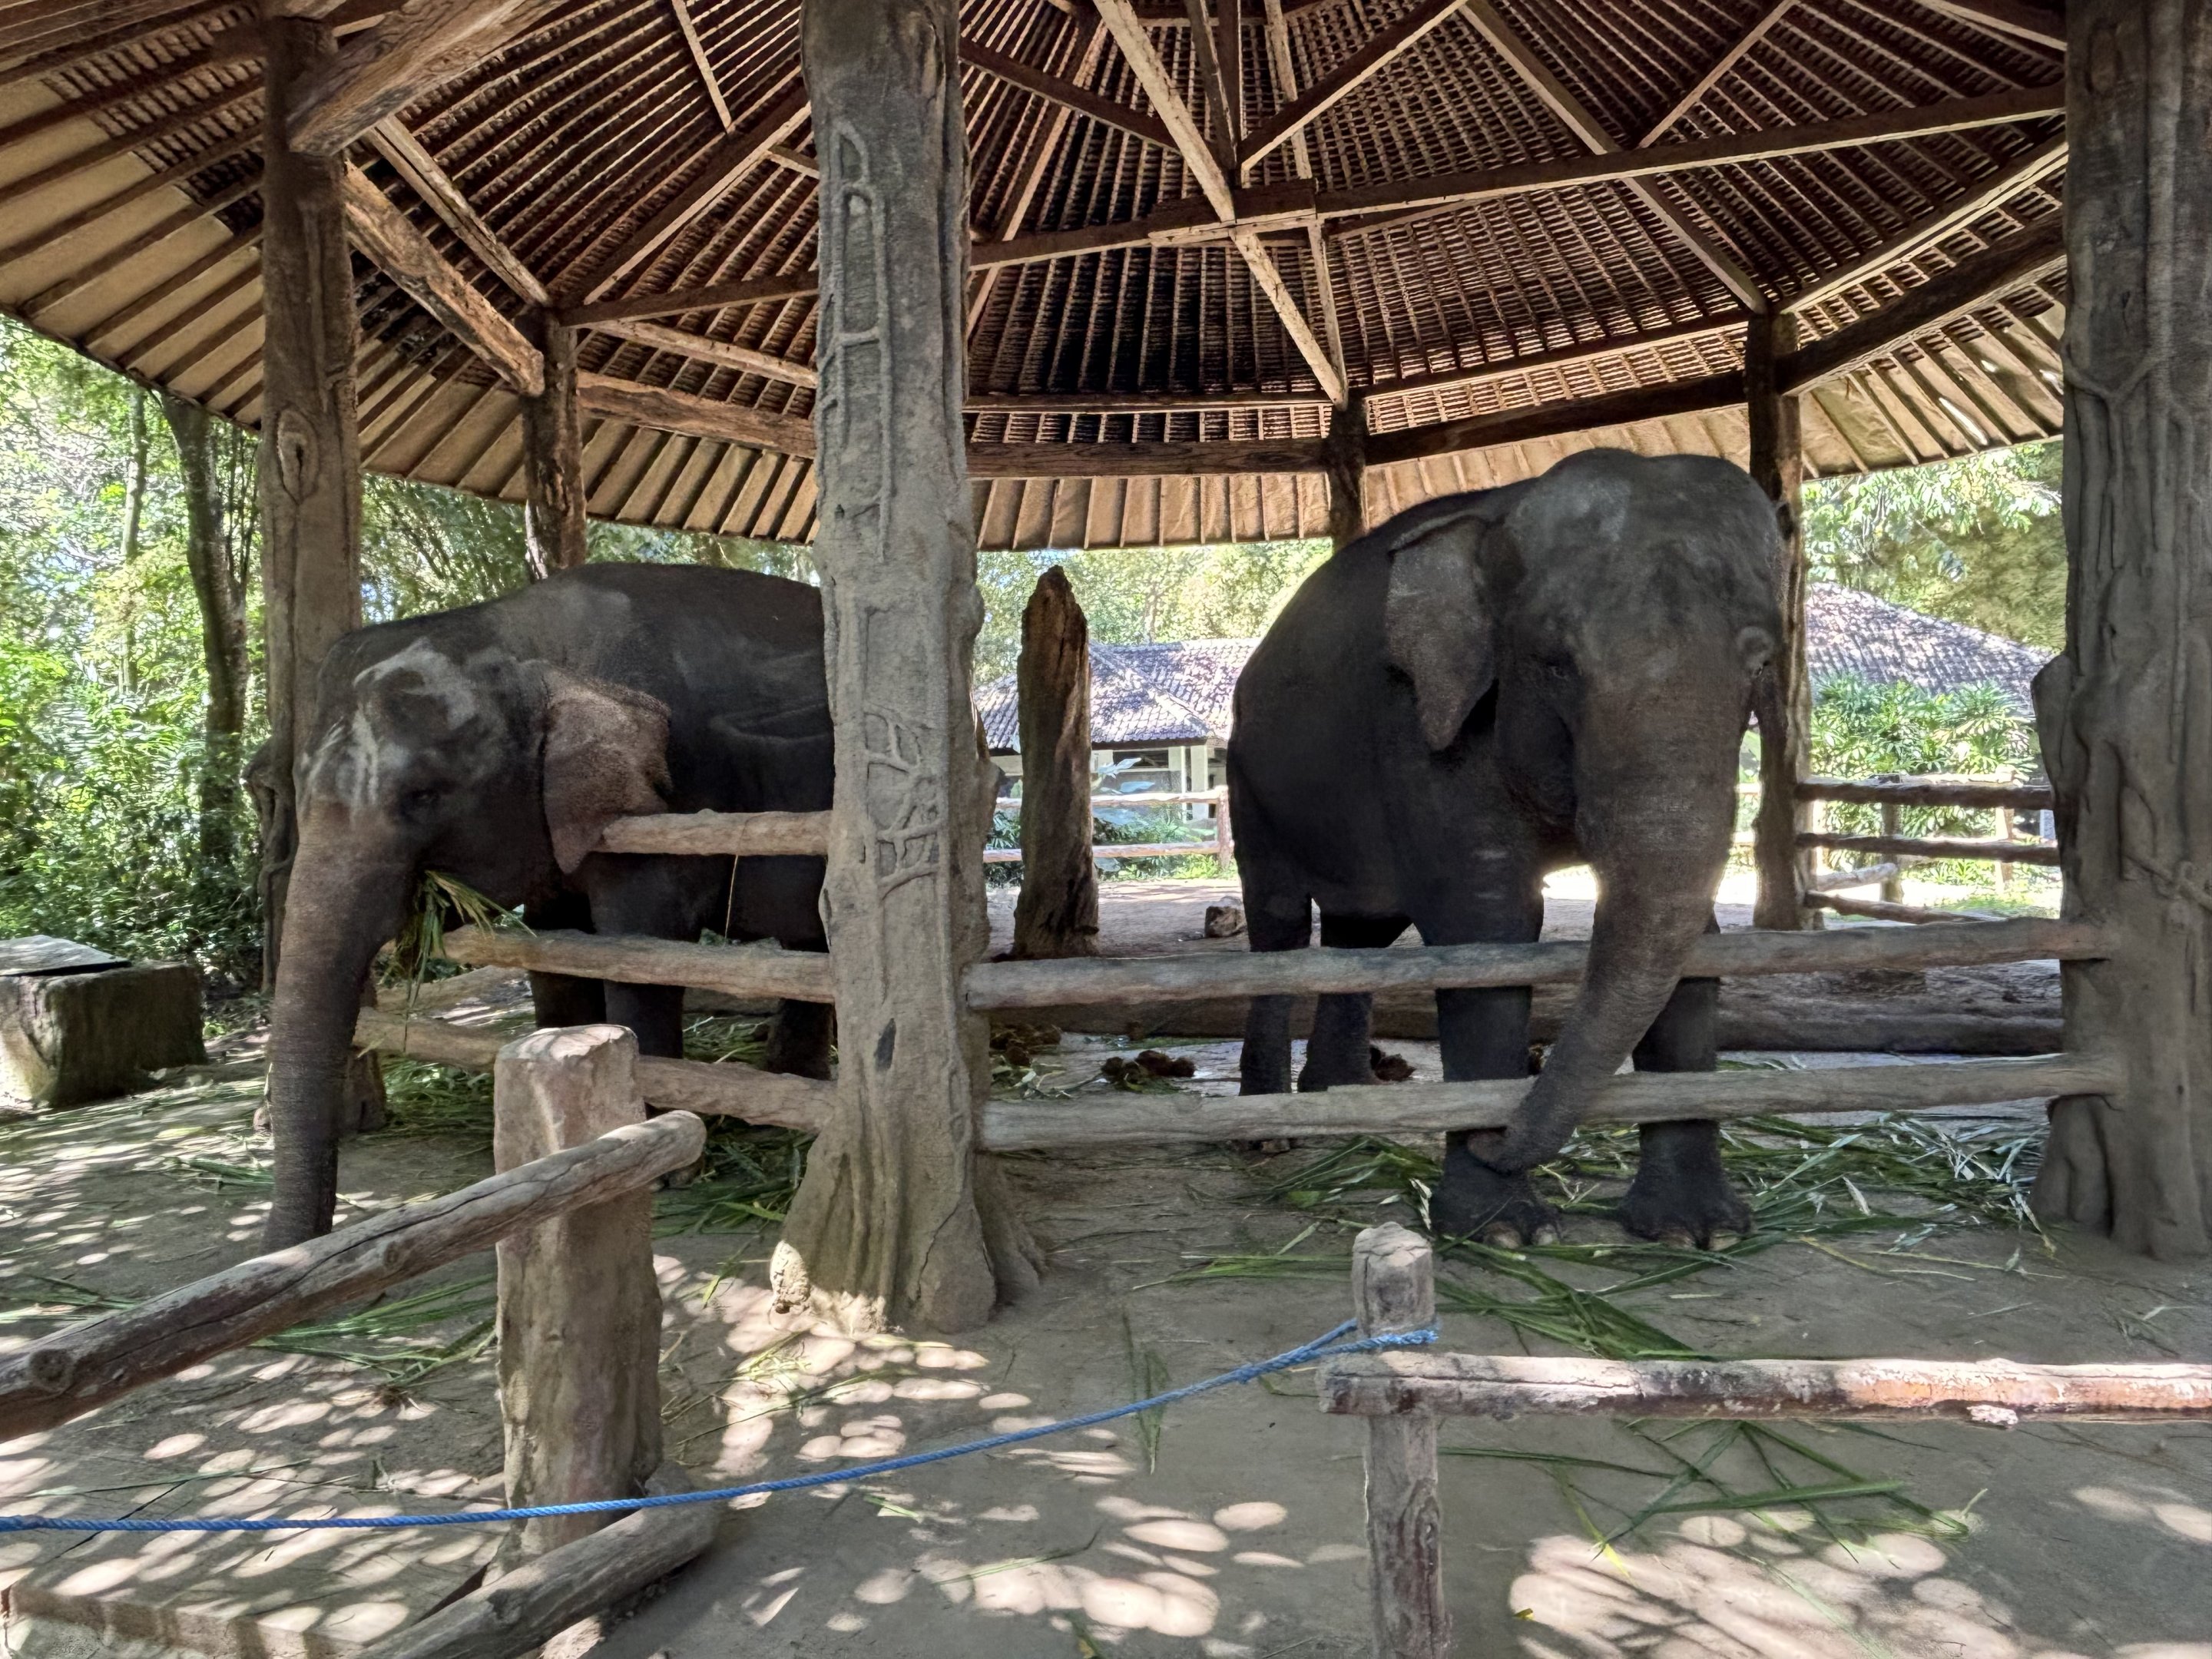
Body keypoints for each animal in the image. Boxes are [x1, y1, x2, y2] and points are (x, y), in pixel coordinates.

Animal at [263, 563, 834, 1249]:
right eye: (293, 789)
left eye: (423, 794)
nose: (294, 1244)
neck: (521, 637)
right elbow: (554, 948)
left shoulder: (662, 801)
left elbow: (641, 942)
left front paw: (668, 1165)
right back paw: (788, 1094)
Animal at [1226, 448, 1784, 1249]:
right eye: (1555, 663)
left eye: (1763, 664)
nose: (1501, 1130)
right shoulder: (1421, 722)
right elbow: (1487, 930)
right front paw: (1505, 1232)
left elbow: (1694, 945)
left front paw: (1699, 1233)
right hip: (1249, 776)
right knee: (1278, 926)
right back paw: (1269, 1133)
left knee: (1360, 932)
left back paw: (1344, 1106)